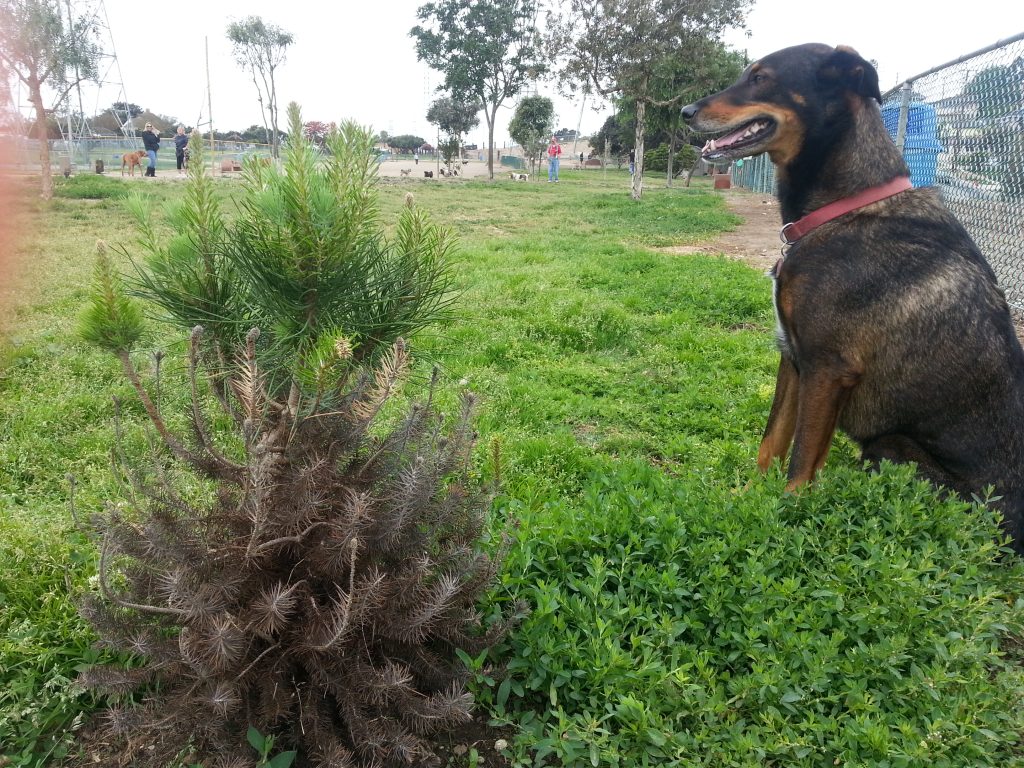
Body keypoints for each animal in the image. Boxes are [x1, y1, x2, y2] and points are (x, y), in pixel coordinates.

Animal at [679, 41, 1024, 548]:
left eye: (761, 78)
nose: (685, 112)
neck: (845, 208)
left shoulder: (828, 369)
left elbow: (801, 461)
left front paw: (784, 518)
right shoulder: (794, 359)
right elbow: (771, 443)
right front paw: (747, 498)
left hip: (891, 446)